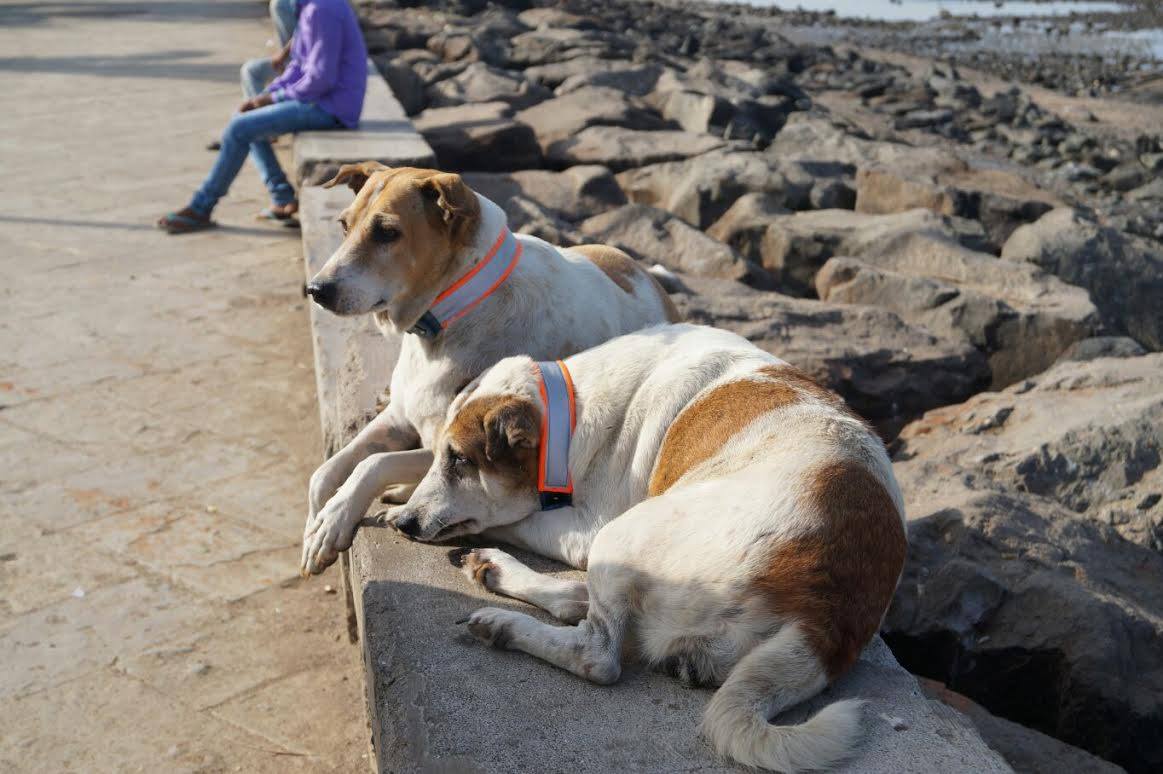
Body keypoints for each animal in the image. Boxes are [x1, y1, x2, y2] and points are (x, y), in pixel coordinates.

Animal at [300, 162, 679, 571]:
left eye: (387, 232)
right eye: (344, 225)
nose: (316, 290)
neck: (456, 308)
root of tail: (651, 280)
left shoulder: (446, 441)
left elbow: (372, 463)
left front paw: (335, 519)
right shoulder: (398, 418)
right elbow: (329, 468)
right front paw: (317, 517)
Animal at [390, 323, 907, 767]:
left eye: (459, 459)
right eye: (441, 454)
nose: (409, 524)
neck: (573, 408)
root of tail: (827, 619)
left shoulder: (586, 529)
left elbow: (515, 520)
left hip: (621, 535)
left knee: (596, 653)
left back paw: (505, 622)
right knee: (580, 603)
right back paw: (494, 572)